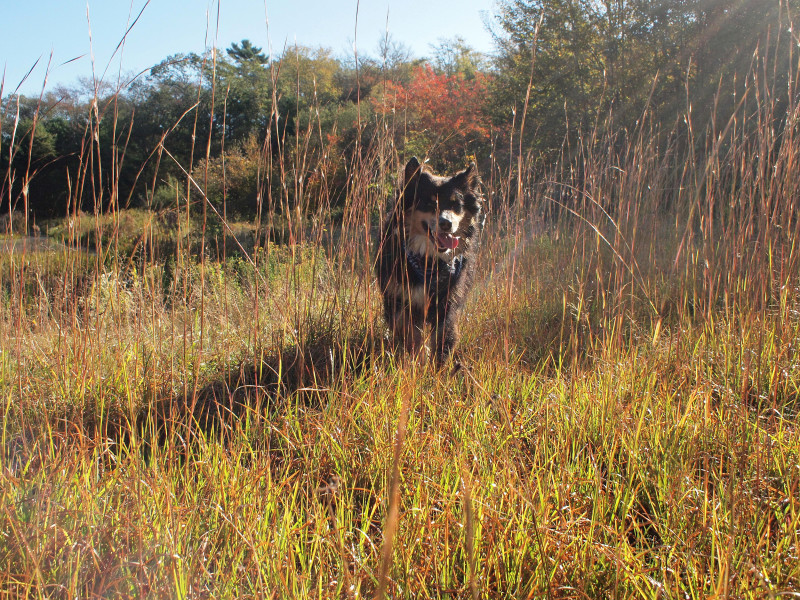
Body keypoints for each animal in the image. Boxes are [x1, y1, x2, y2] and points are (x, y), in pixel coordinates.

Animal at [376, 157, 484, 364]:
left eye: (456, 205)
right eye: (429, 203)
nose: (446, 224)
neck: (429, 260)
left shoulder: (447, 303)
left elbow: (443, 338)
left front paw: (437, 367)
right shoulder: (399, 298)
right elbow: (410, 334)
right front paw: (418, 360)